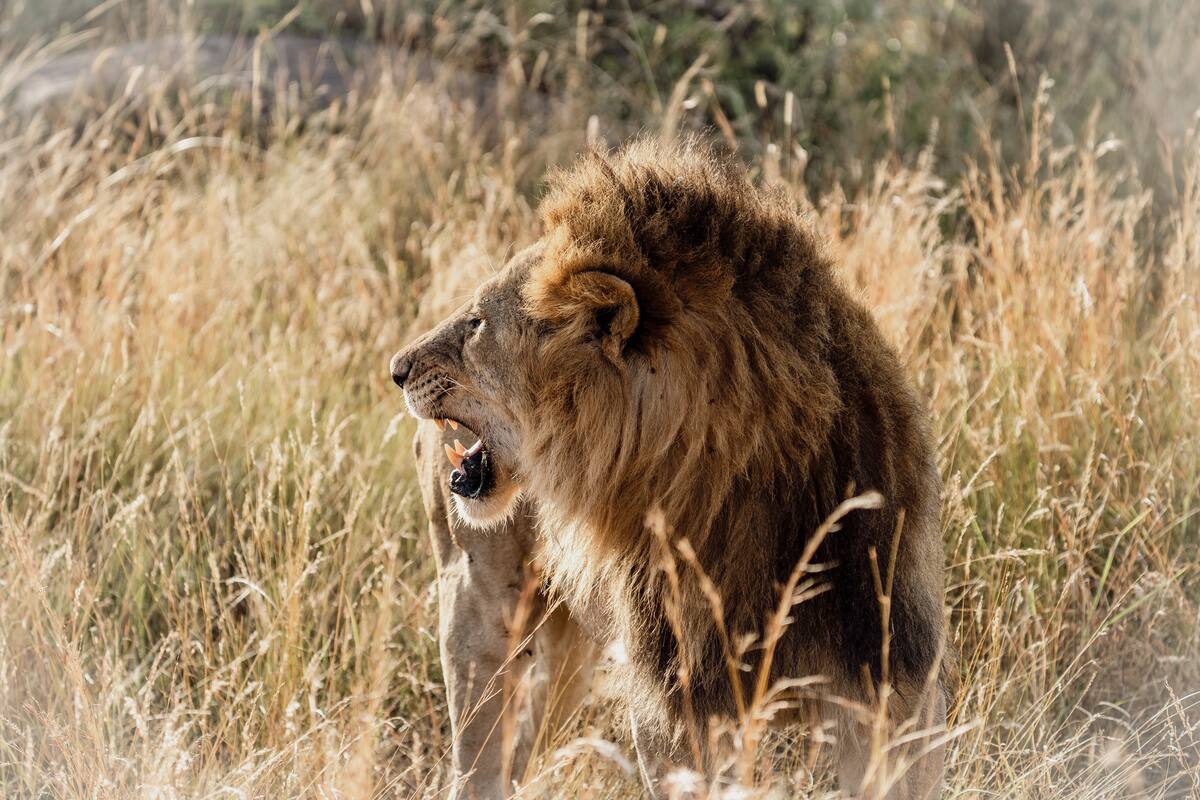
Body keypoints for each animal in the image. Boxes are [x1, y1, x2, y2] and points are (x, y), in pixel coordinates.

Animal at [393, 139, 947, 799]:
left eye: (477, 322)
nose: (396, 368)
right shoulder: (681, 704)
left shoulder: (892, 684)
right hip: (478, 607)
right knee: (478, 760)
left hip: (569, 655)